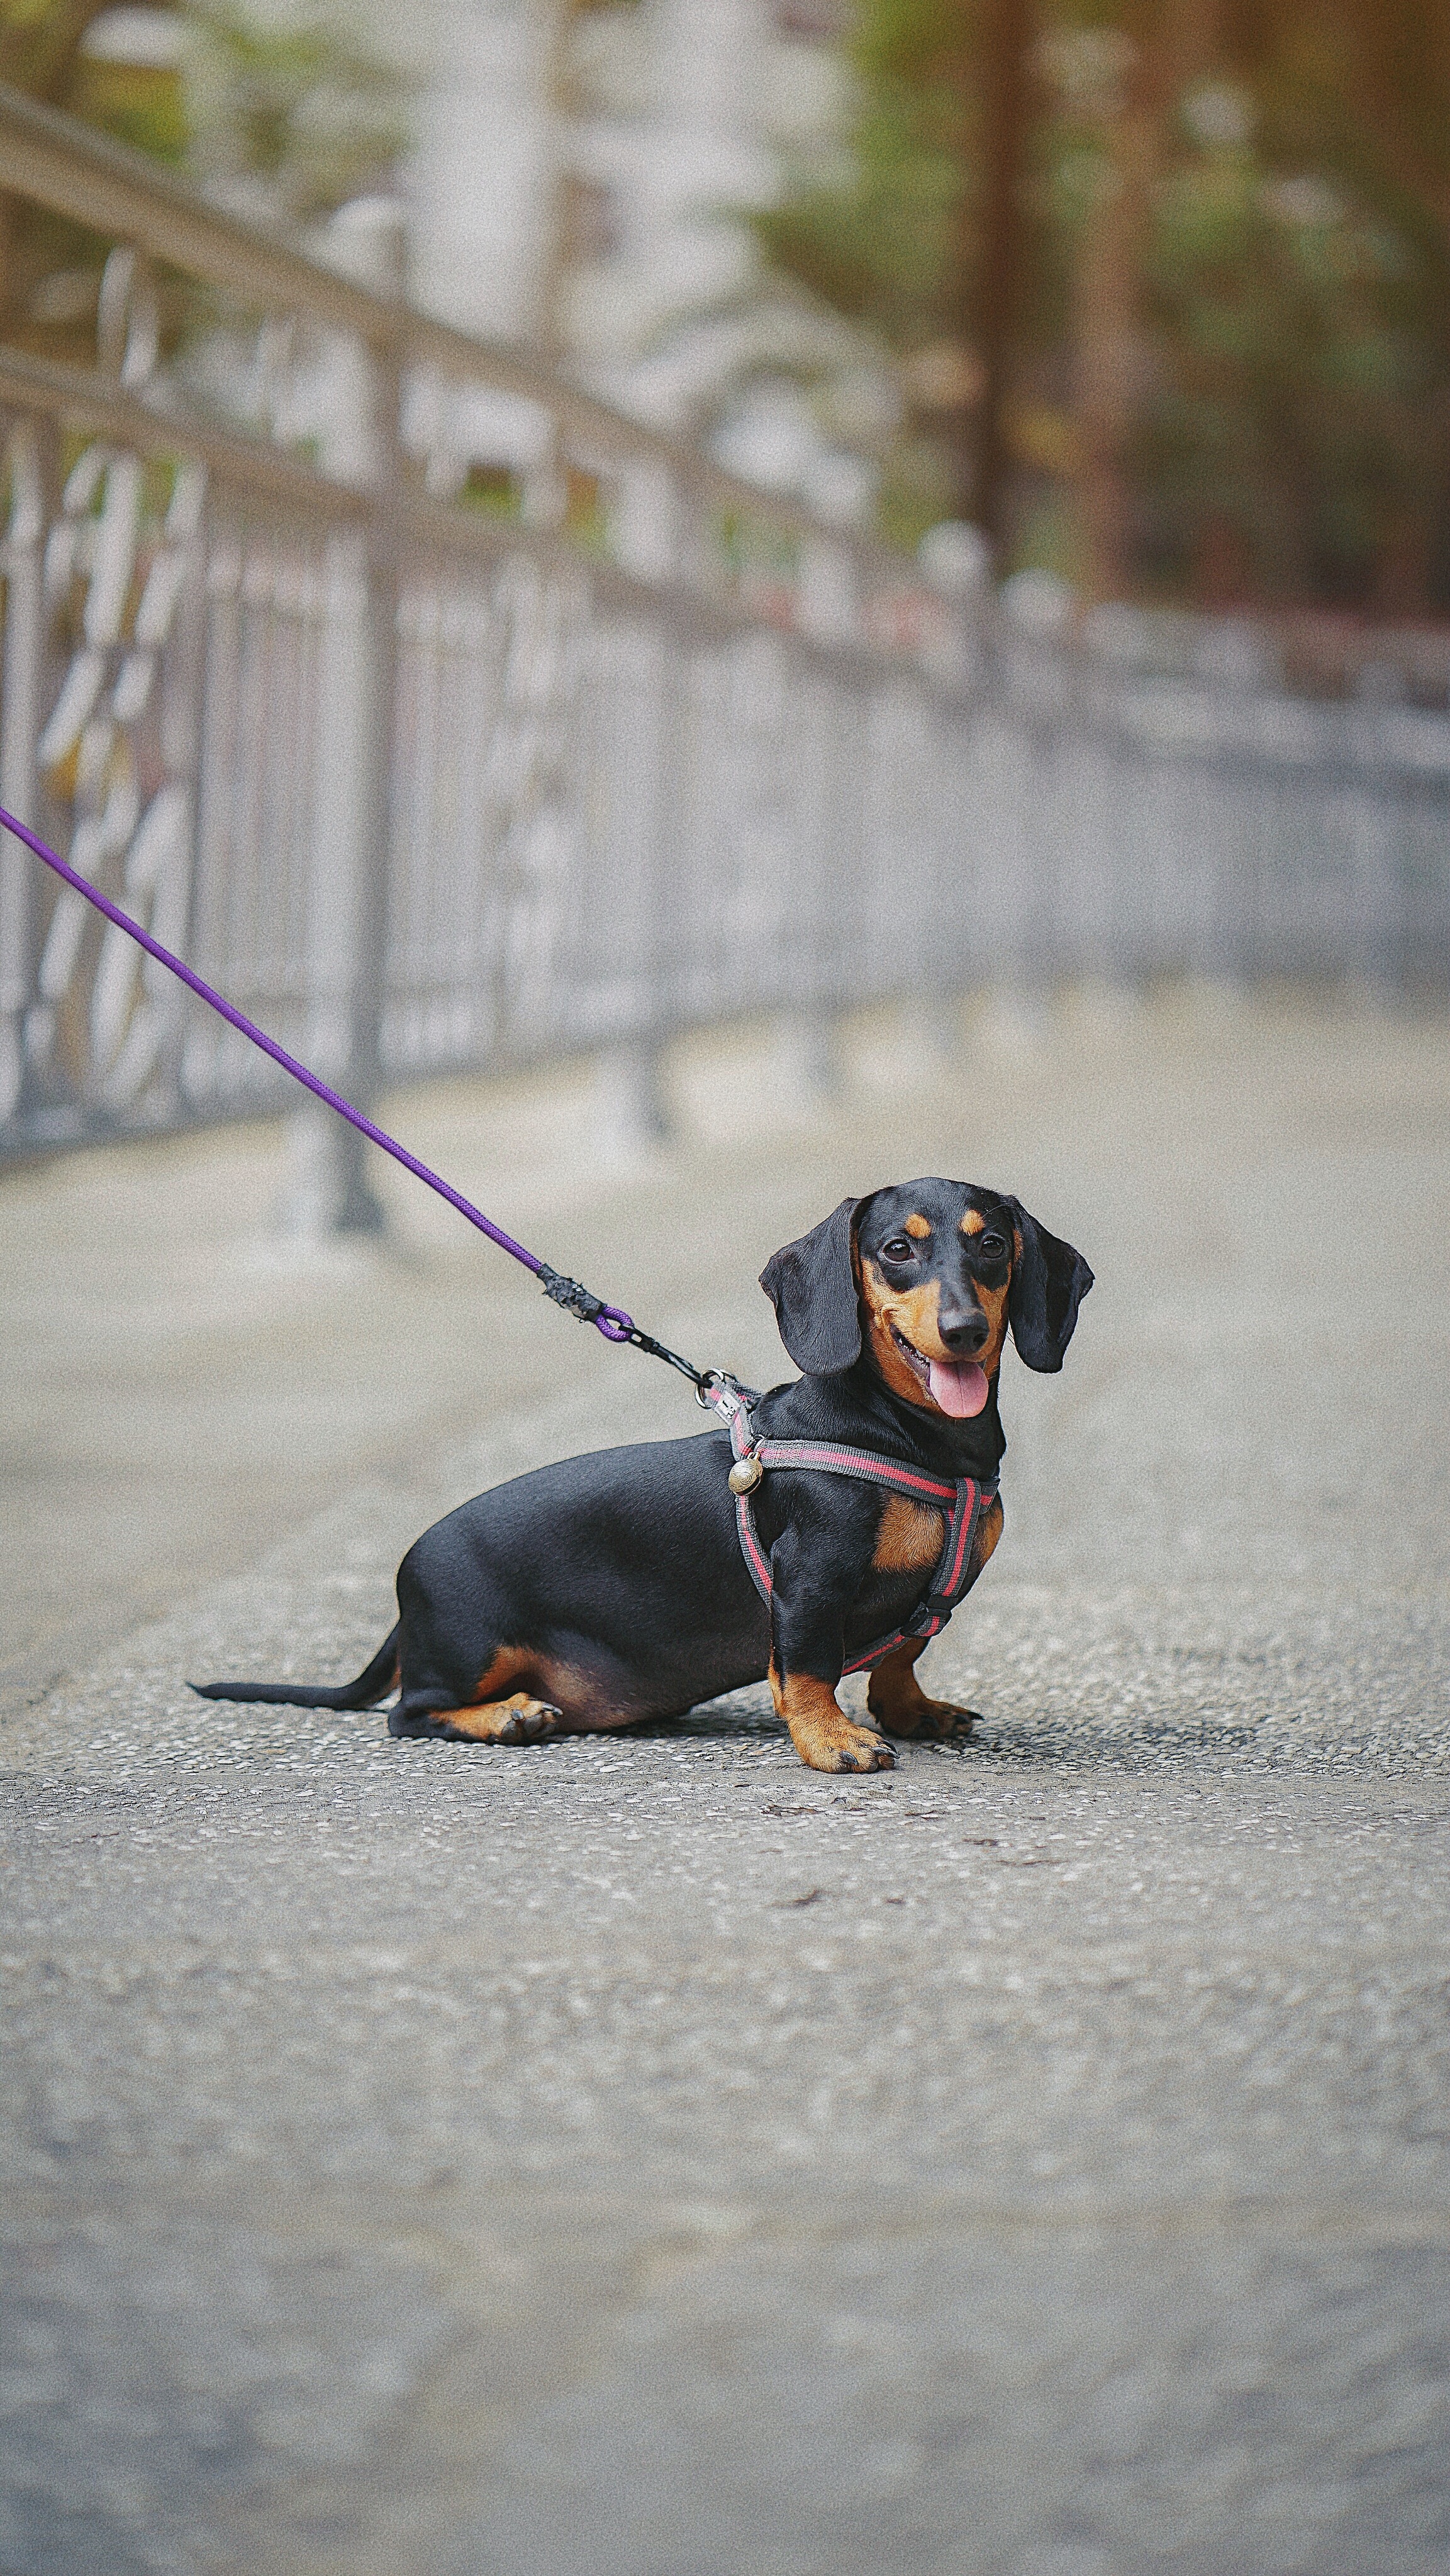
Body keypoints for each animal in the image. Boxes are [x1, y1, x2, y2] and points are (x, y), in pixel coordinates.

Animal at [196, 1185, 1091, 1772]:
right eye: (896, 1250)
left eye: (992, 1244)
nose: (964, 1329)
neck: (913, 1437)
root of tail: (405, 1585)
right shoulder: (810, 1581)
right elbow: (809, 1670)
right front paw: (831, 1740)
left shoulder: (928, 1598)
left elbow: (901, 1653)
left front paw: (910, 1714)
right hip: (469, 1645)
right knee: (407, 1714)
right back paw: (506, 1717)